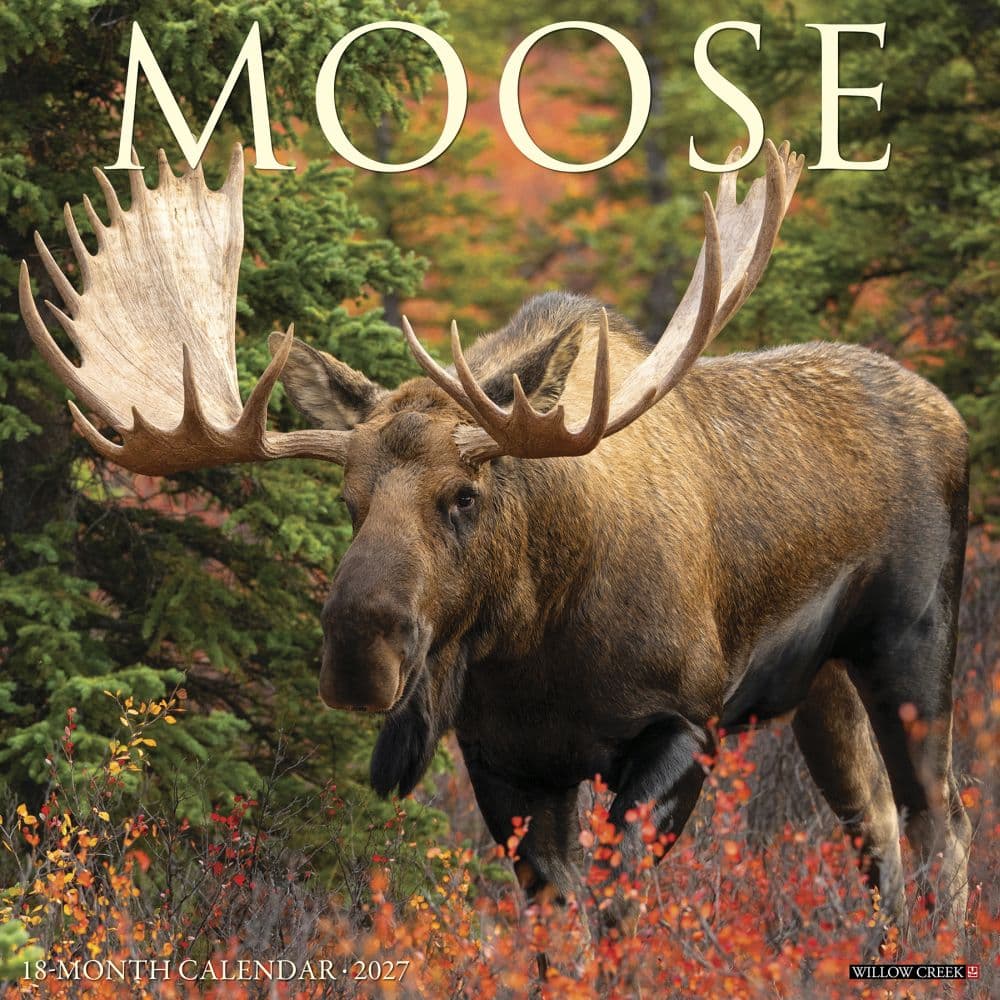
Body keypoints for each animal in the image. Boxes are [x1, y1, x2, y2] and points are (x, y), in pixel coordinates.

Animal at [21, 140, 972, 932]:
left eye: (465, 495)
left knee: (944, 823)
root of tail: (951, 413)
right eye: (348, 498)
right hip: (823, 683)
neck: (536, 638)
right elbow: (557, 930)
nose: (359, 650)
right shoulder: (507, 763)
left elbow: (618, 917)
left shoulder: (683, 723)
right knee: (876, 823)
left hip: (914, 646)